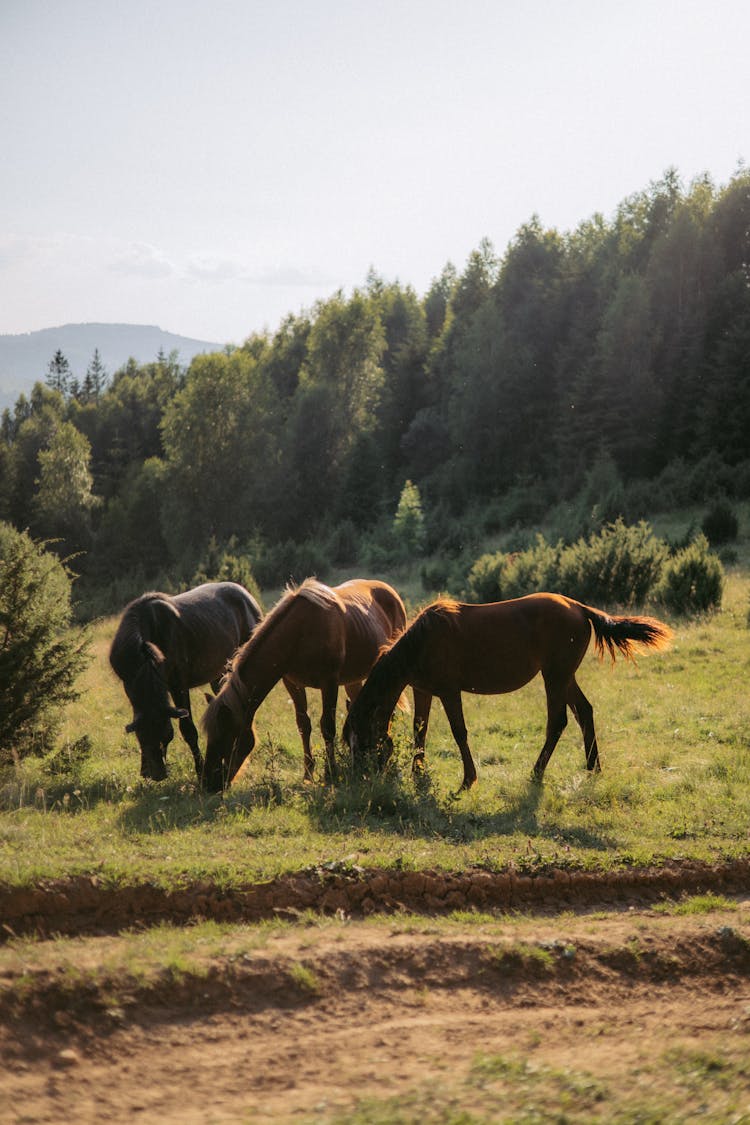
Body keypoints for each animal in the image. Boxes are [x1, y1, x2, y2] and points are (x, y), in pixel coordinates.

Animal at [110, 580, 263, 783]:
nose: (156, 775)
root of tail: (246, 594)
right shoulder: (130, 686)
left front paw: (199, 771)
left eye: (166, 733)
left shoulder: (178, 686)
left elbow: (188, 730)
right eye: (141, 736)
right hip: (219, 673)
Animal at [201, 580, 427, 792]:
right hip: (353, 680)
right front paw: (308, 774)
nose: (209, 784)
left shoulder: (330, 683)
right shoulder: (292, 684)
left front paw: (331, 773)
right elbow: (303, 725)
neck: (300, 631)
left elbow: (327, 727)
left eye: (227, 735)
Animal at [344, 589, 670, 792]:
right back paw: (593, 768)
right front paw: (418, 775)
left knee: (558, 722)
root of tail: (579, 608)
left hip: (555, 677)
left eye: (361, 740)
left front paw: (468, 780)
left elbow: (459, 732)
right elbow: (419, 730)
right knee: (584, 712)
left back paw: (536, 773)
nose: (361, 780)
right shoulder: (423, 691)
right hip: (564, 677)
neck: (422, 642)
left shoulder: (449, 691)